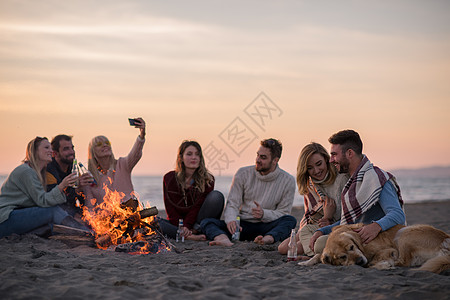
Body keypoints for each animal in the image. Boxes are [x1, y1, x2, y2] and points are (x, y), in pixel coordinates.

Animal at [298, 223, 450, 274]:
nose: (359, 261)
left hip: (404, 233)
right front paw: (305, 262)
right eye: (342, 257)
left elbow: (375, 258)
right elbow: (318, 255)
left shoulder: (385, 248)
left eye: (352, 247)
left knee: (403, 261)